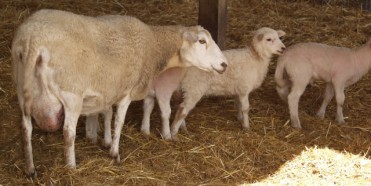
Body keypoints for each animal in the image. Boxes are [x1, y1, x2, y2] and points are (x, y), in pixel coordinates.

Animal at [11, 9, 228, 177]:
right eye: (201, 41)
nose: (224, 64)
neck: (155, 45)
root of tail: (31, 40)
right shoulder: (126, 92)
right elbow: (119, 121)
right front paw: (115, 153)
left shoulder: (110, 87)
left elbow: (107, 114)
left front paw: (105, 141)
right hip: (71, 94)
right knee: (68, 132)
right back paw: (71, 166)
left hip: (23, 91)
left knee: (26, 129)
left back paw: (30, 169)